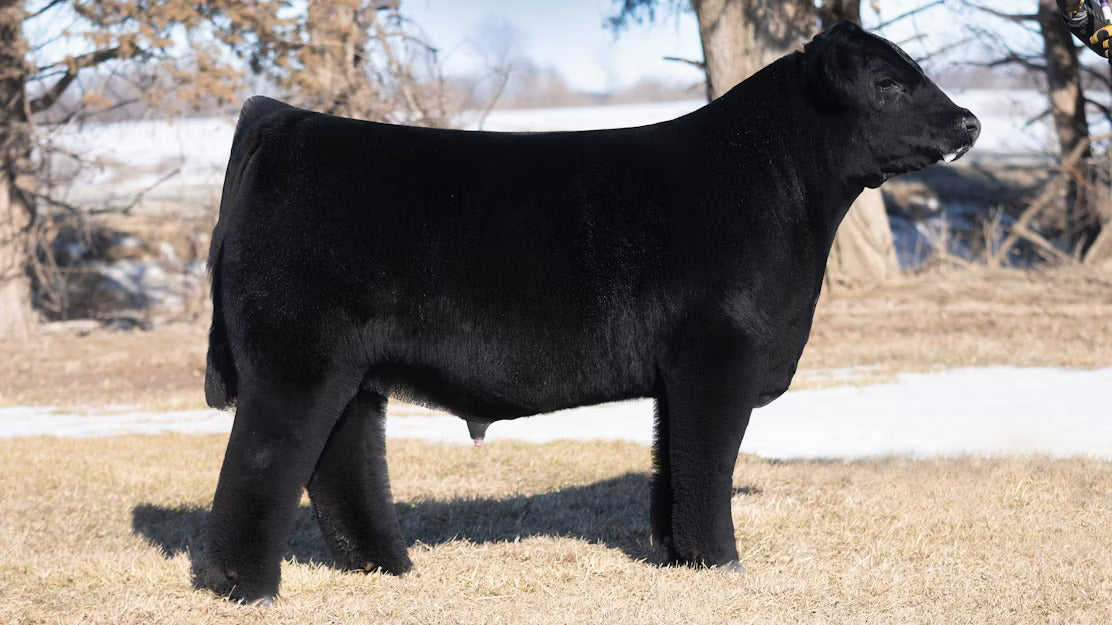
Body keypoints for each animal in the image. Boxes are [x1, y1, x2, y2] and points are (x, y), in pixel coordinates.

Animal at [200, 21, 979, 603]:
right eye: (888, 82)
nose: (968, 121)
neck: (776, 189)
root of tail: (286, 121)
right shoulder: (716, 358)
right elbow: (707, 464)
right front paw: (722, 562)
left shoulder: (677, 375)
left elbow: (673, 465)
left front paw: (677, 556)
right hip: (295, 362)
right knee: (263, 462)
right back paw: (250, 588)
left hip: (353, 370)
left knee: (341, 458)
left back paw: (386, 568)